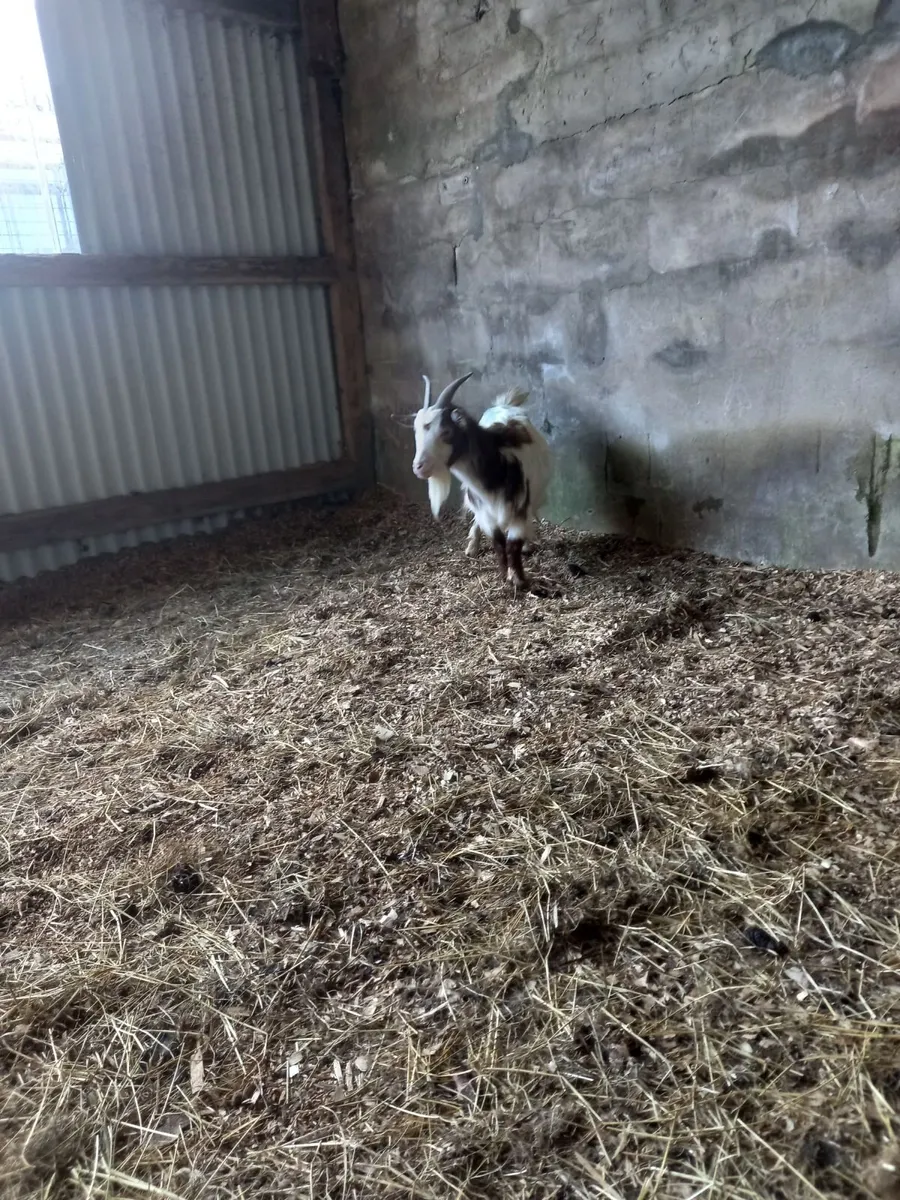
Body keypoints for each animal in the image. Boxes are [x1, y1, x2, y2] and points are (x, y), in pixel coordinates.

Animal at [412, 372, 552, 590]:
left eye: (446, 432)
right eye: (416, 431)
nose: (419, 467)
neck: (498, 465)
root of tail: (505, 404)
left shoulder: (520, 510)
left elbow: (513, 545)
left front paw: (518, 580)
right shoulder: (485, 511)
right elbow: (498, 543)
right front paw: (504, 575)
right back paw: (472, 546)